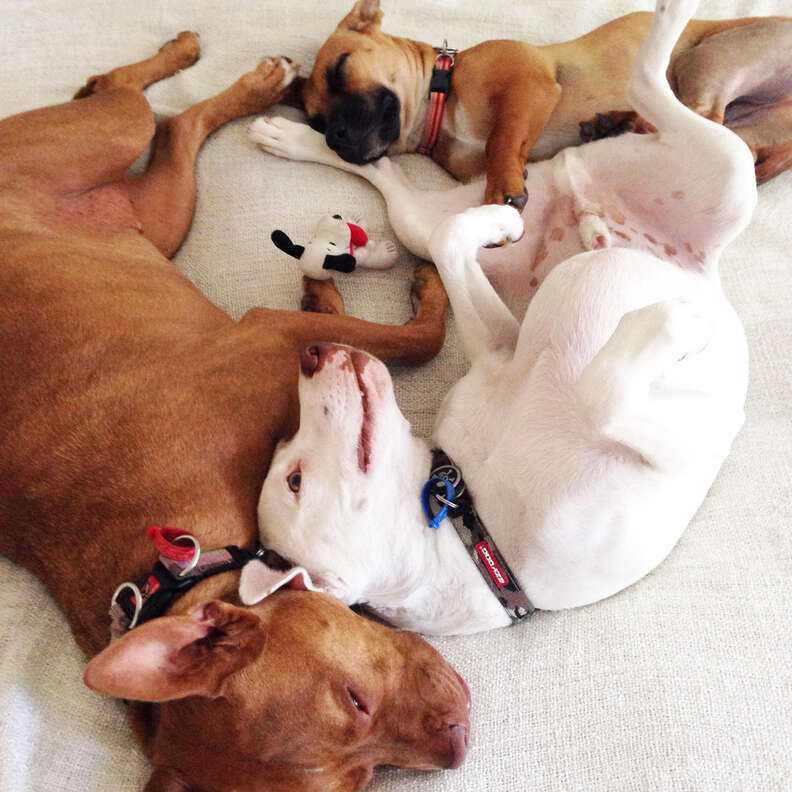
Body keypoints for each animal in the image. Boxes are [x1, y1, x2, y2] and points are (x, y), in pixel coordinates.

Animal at [0, 32, 470, 792]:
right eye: (359, 714)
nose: (460, 740)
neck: (179, 559)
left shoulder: (270, 331)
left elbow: (419, 336)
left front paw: (381, 288)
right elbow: (410, 338)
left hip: (124, 163)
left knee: (136, 102)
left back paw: (221, 68)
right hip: (154, 210)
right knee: (168, 125)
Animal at [246, 0, 756, 636]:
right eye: (293, 477)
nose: (312, 354)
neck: (469, 521)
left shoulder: (499, 348)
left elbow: (454, 233)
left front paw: (500, 218)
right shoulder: (667, 455)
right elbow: (604, 390)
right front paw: (676, 324)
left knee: (398, 183)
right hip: (731, 176)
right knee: (645, 87)